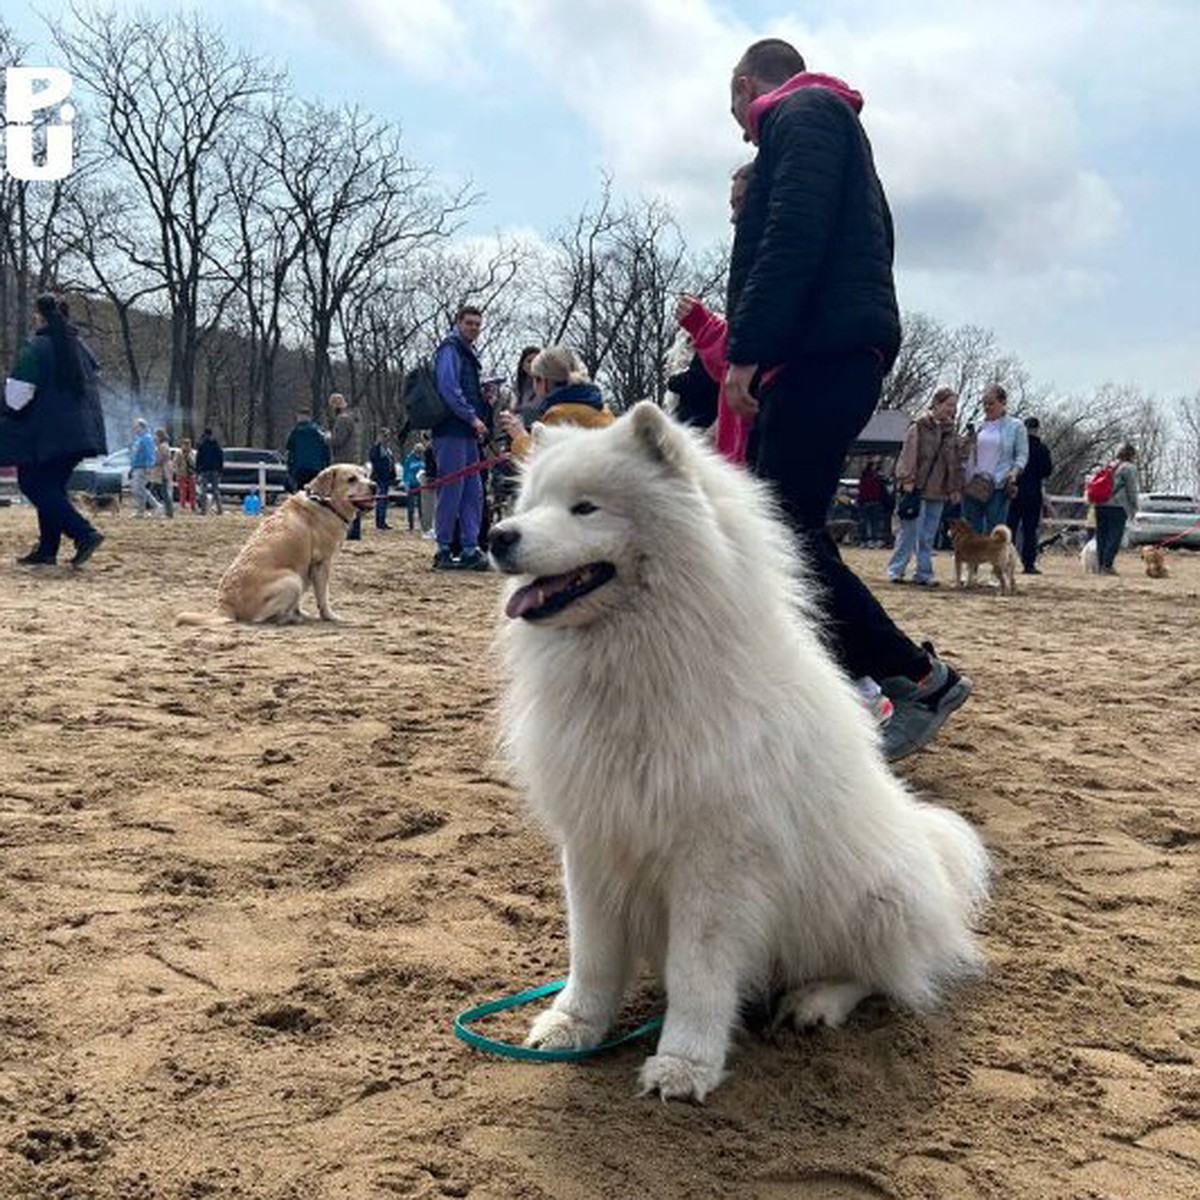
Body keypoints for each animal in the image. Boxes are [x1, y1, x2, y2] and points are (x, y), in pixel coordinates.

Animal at [175, 460, 372, 628]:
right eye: (351, 479)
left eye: (365, 475)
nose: (374, 485)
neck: (325, 502)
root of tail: (225, 606)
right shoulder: (321, 563)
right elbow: (323, 597)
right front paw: (330, 617)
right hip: (292, 580)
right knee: (263, 618)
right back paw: (290, 619)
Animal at [487, 408, 984, 1099]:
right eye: (528, 505)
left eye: (585, 508)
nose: (496, 536)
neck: (636, 671)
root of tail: (931, 855)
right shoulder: (592, 840)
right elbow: (591, 957)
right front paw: (573, 1026)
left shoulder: (718, 862)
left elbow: (698, 974)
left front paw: (683, 1064)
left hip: (870, 900)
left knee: (880, 974)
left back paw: (814, 1002)